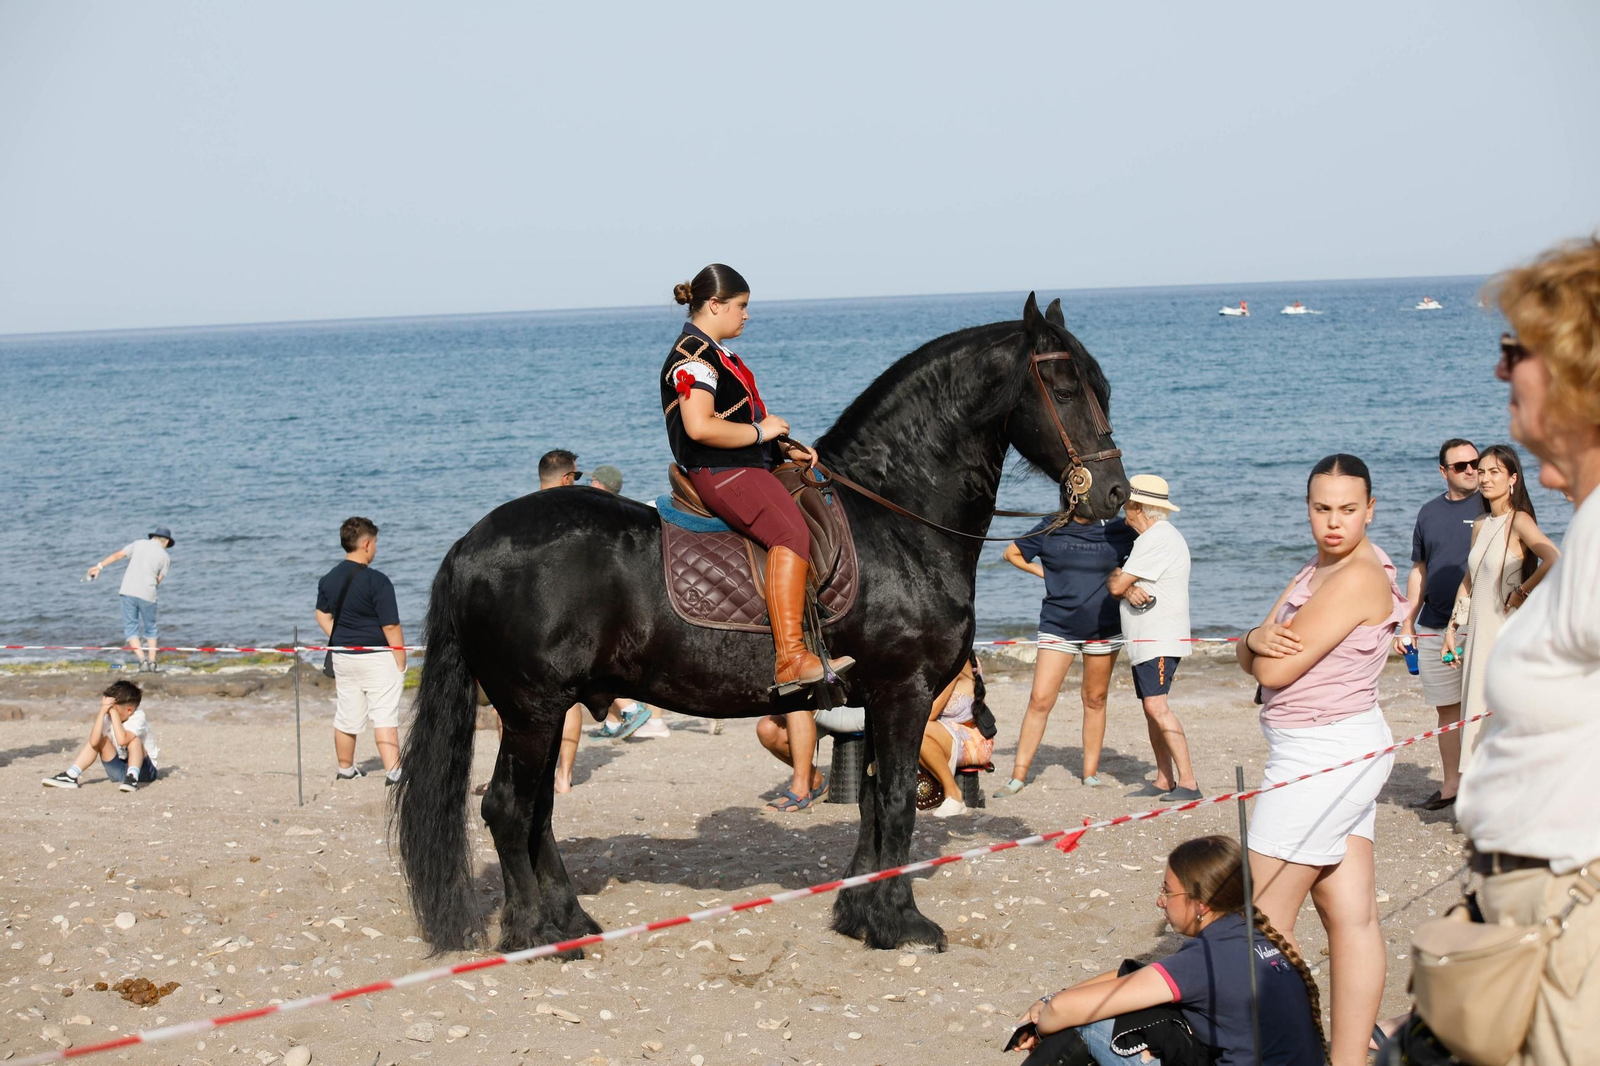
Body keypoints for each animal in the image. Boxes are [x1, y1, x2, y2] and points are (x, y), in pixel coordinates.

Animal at [394, 292, 1129, 956]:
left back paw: (569, 921)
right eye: (1065, 388)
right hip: (533, 708)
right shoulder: (905, 691)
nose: (1113, 494)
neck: (894, 518)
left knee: (537, 809)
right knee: (508, 808)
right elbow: (896, 801)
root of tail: (473, 544)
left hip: (548, 709)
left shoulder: (878, 700)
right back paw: (536, 935)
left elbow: (871, 801)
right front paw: (900, 923)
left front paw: (860, 914)